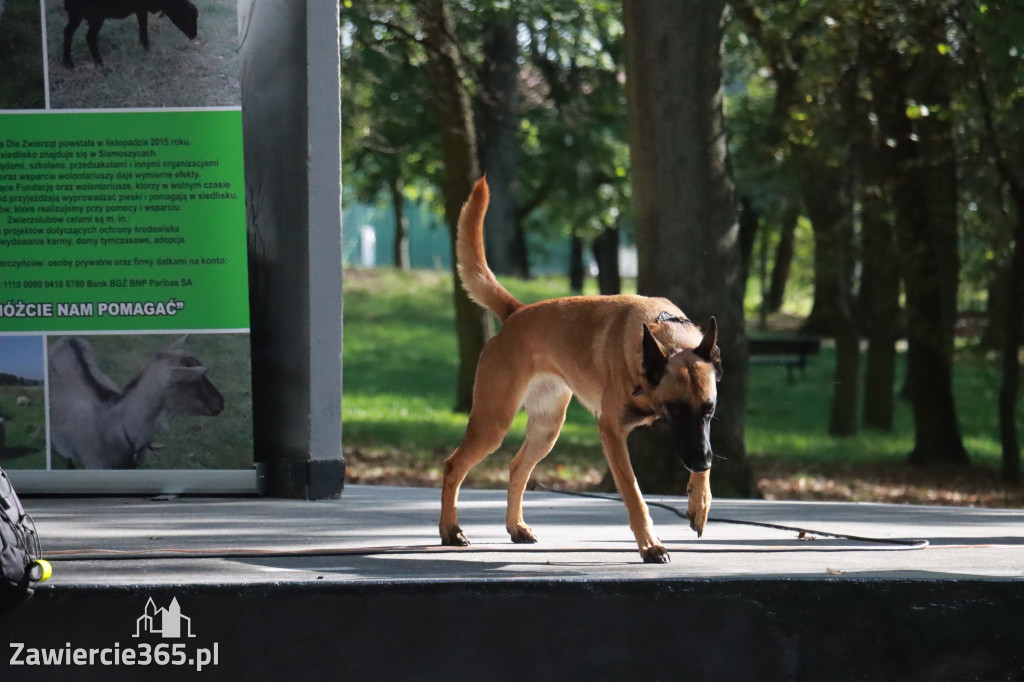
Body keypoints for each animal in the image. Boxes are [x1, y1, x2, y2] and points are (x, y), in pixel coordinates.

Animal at [440, 178, 720, 561]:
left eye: (709, 410)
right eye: (675, 411)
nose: (703, 462)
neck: (664, 337)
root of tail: (517, 312)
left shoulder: (699, 429)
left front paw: (699, 501)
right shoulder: (612, 432)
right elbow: (634, 493)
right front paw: (650, 544)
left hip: (547, 428)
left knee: (517, 467)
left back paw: (516, 526)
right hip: (493, 422)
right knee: (453, 466)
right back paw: (450, 530)